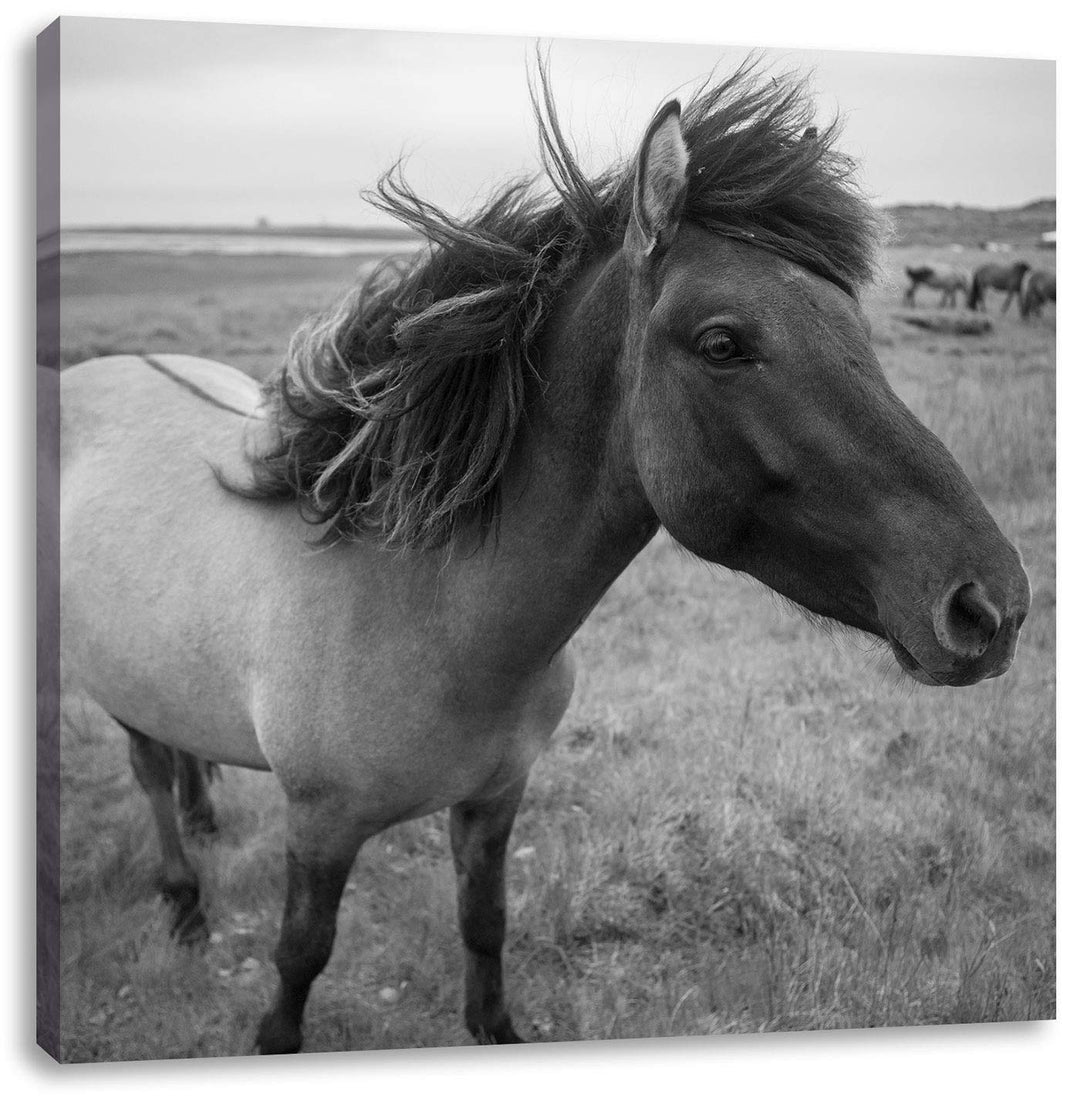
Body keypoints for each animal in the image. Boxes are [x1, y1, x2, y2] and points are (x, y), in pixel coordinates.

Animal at [58, 64, 1030, 1054]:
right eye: (724, 343)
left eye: (859, 329)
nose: (989, 605)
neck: (426, 614)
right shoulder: (321, 825)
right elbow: (300, 957)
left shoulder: (496, 800)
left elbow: (484, 925)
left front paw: (495, 1028)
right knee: (147, 772)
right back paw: (183, 903)